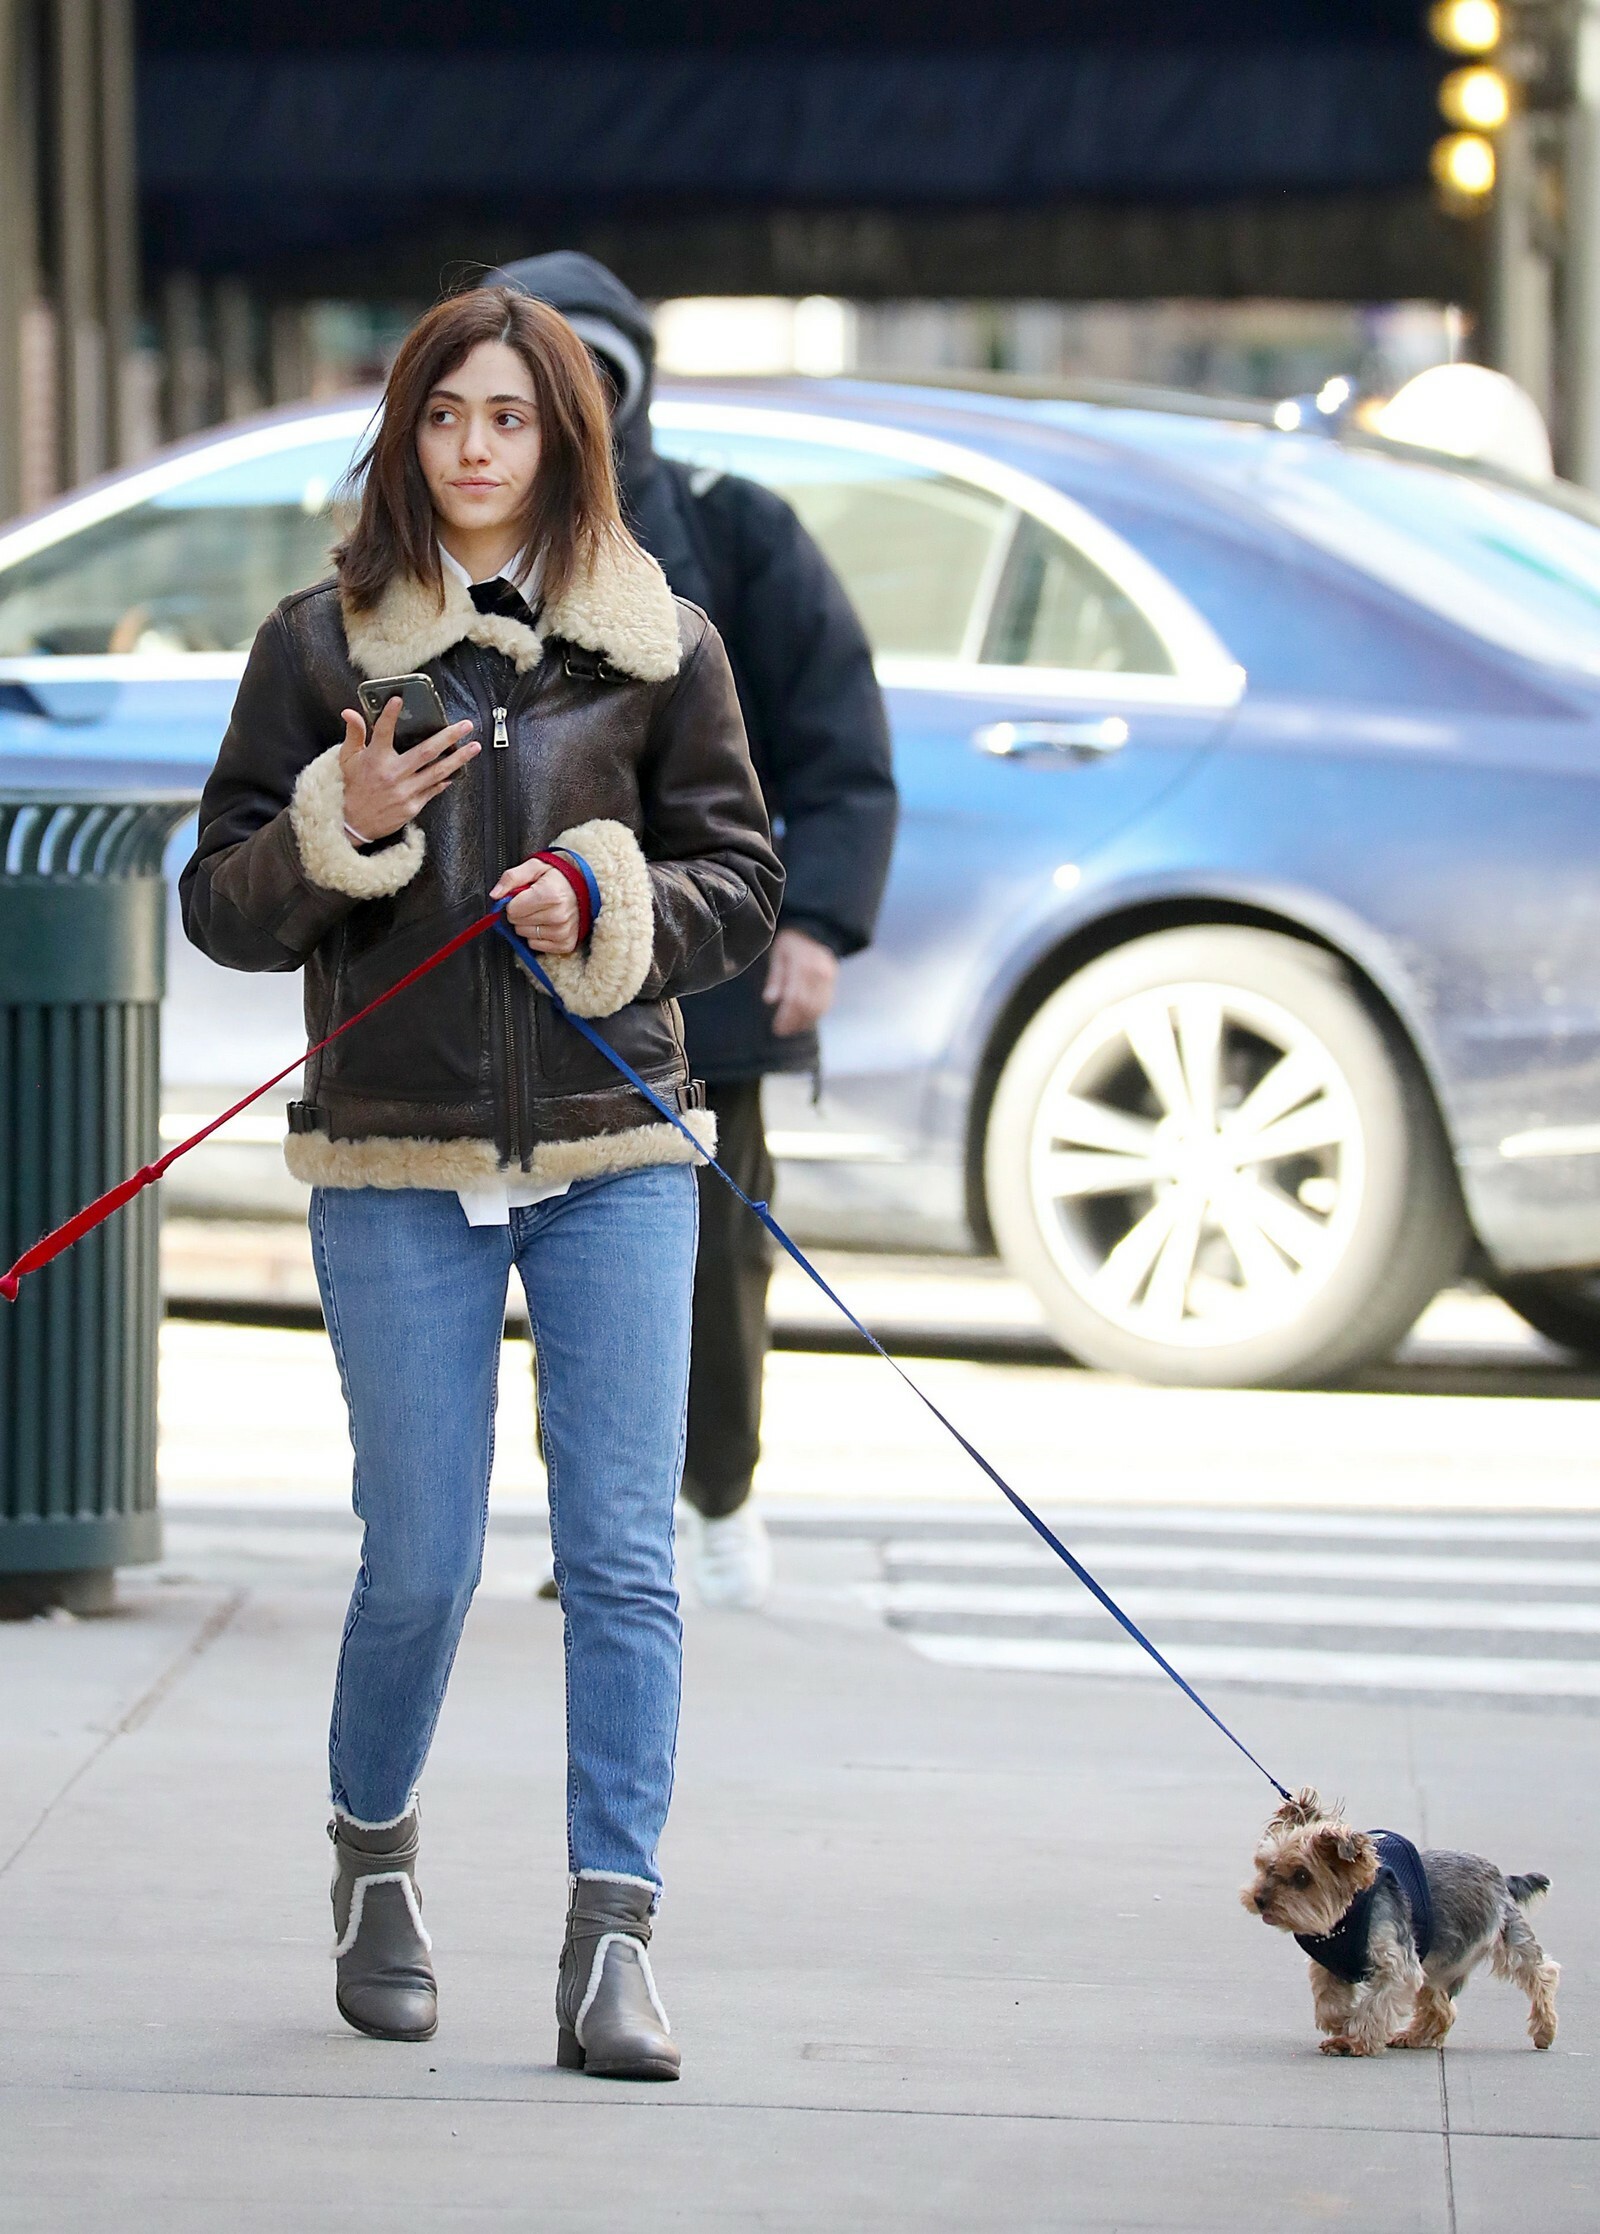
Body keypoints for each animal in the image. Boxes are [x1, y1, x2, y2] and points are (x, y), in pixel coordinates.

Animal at [1241, 1788, 1559, 2057]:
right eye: (1264, 1866)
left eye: (1302, 1876)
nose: (1259, 1899)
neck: (1346, 1916)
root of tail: (1501, 1877)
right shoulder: (1329, 1966)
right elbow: (1329, 2003)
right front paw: (1343, 2023)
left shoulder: (1396, 1963)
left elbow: (1376, 2004)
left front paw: (1353, 2040)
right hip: (1437, 1960)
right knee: (1442, 2006)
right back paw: (1414, 2036)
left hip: (1508, 1936)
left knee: (1540, 1974)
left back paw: (1544, 2029)